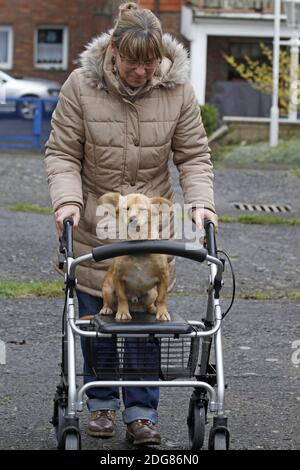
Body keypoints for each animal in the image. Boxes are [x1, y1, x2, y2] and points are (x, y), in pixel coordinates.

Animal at [98, 191, 172, 320]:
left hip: (152, 293)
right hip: (108, 289)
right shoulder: (118, 277)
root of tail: (134, 304)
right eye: (126, 209)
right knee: (109, 302)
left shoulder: (164, 276)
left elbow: (161, 298)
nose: (132, 218)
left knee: (150, 304)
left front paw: (162, 312)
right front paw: (123, 312)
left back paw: (153, 309)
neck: (138, 246)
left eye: (142, 209)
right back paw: (107, 309)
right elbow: (122, 297)